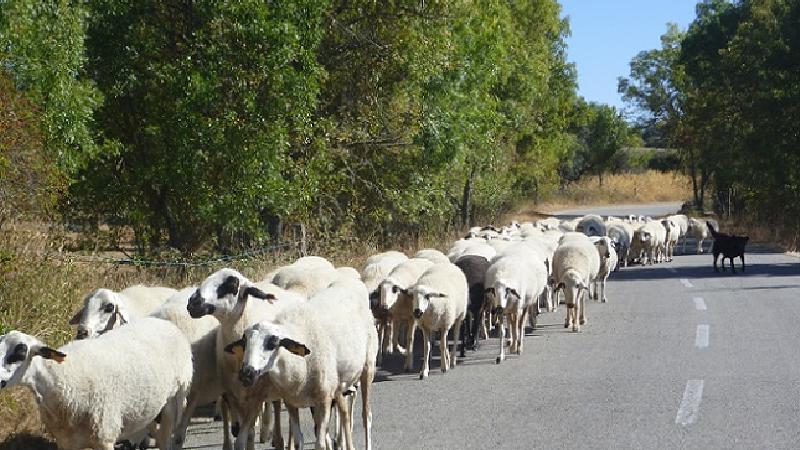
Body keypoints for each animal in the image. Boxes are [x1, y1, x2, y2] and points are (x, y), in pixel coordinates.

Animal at [0, 316, 192, 450]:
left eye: (20, 352)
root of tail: (164, 323)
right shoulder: (66, 442)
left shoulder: (104, 437)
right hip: (148, 405)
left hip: (173, 401)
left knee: (165, 439)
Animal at [223, 278, 376, 450]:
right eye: (244, 342)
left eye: (273, 342)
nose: (246, 373)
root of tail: (351, 281)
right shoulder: (291, 402)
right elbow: (298, 440)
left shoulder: (323, 400)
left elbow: (320, 444)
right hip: (339, 385)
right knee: (345, 414)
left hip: (368, 368)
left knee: (366, 416)